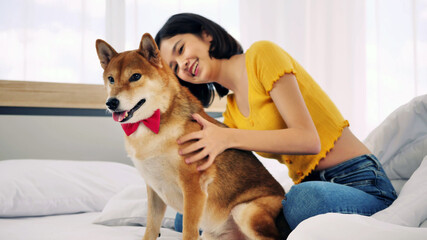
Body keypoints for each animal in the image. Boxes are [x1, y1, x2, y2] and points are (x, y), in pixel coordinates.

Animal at [96, 32, 290, 239]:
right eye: (111, 79)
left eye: (135, 77)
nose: (111, 103)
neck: (154, 125)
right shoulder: (154, 189)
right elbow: (151, 228)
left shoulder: (193, 185)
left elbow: (188, 230)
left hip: (245, 211)